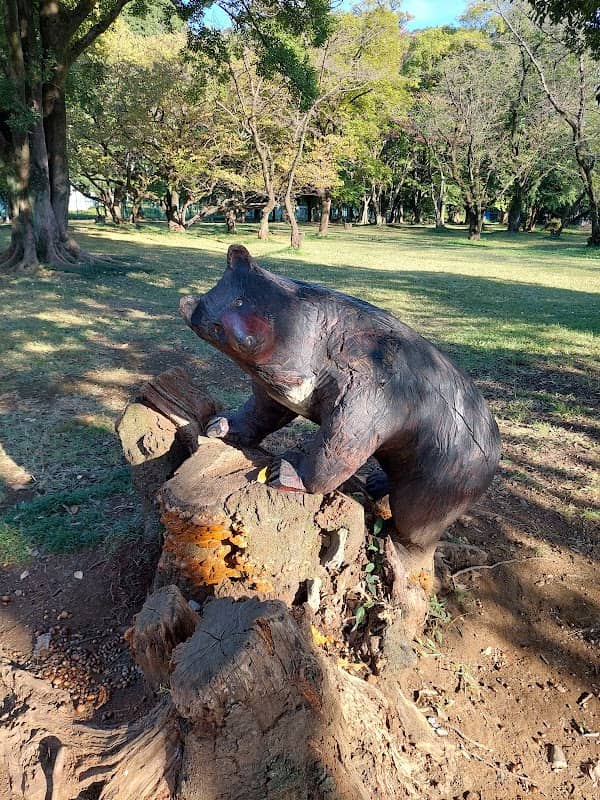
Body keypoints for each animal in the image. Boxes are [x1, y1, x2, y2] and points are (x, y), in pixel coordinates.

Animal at [179, 244, 500, 593]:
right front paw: (218, 426)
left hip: (449, 475)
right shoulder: (272, 392)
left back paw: (401, 559)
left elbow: (341, 441)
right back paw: (375, 483)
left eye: (241, 302)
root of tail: (497, 448)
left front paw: (282, 472)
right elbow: (261, 412)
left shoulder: (370, 390)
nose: (190, 306)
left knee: (415, 525)